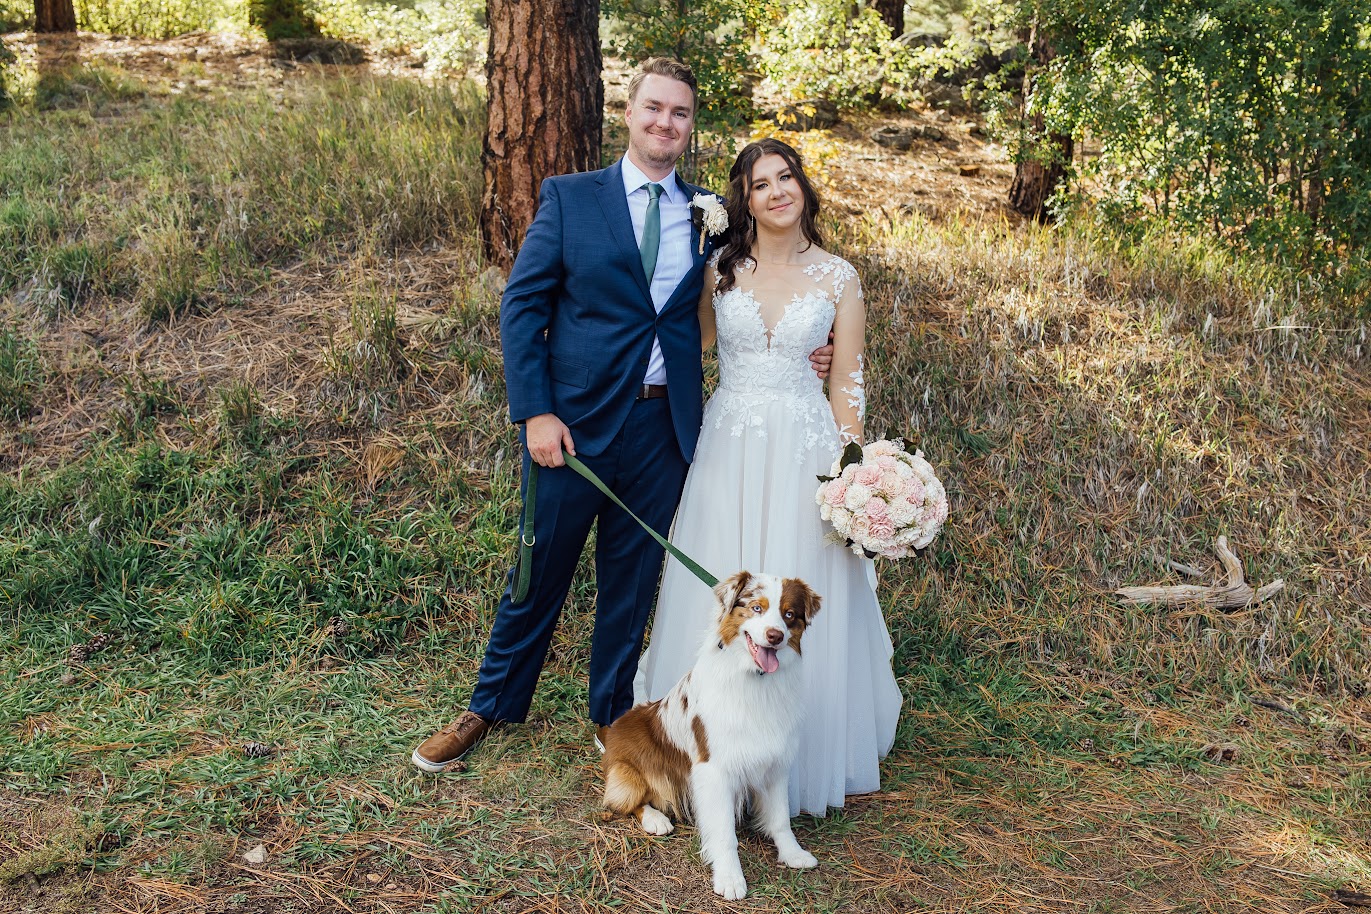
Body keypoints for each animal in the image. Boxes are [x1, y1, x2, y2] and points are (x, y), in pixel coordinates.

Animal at [601, 570, 823, 899]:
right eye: (756, 607)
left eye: (789, 615)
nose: (775, 636)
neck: (755, 681)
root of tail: (612, 731)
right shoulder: (714, 769)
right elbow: (724, 833)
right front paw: (730, 878)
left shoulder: (776, 761)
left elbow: (781, 818)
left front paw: (793, 854)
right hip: (629, 770)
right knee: (626, 800)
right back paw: (656, 819)